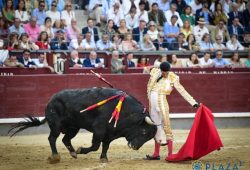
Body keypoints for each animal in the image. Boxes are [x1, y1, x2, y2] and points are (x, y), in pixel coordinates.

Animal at [8, 87, 157, 163]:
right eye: (144, 132)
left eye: (149, 137)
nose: (135, 147)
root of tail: (51, 100)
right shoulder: (99, 129)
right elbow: (96, 146)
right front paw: (82, 150)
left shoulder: (110, 133)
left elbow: (105, 146)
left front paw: (104, 159)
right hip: (56, 125)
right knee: (52, 138)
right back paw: (56, 157)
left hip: (73, 127)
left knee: (65, 139)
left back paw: (73, 153)